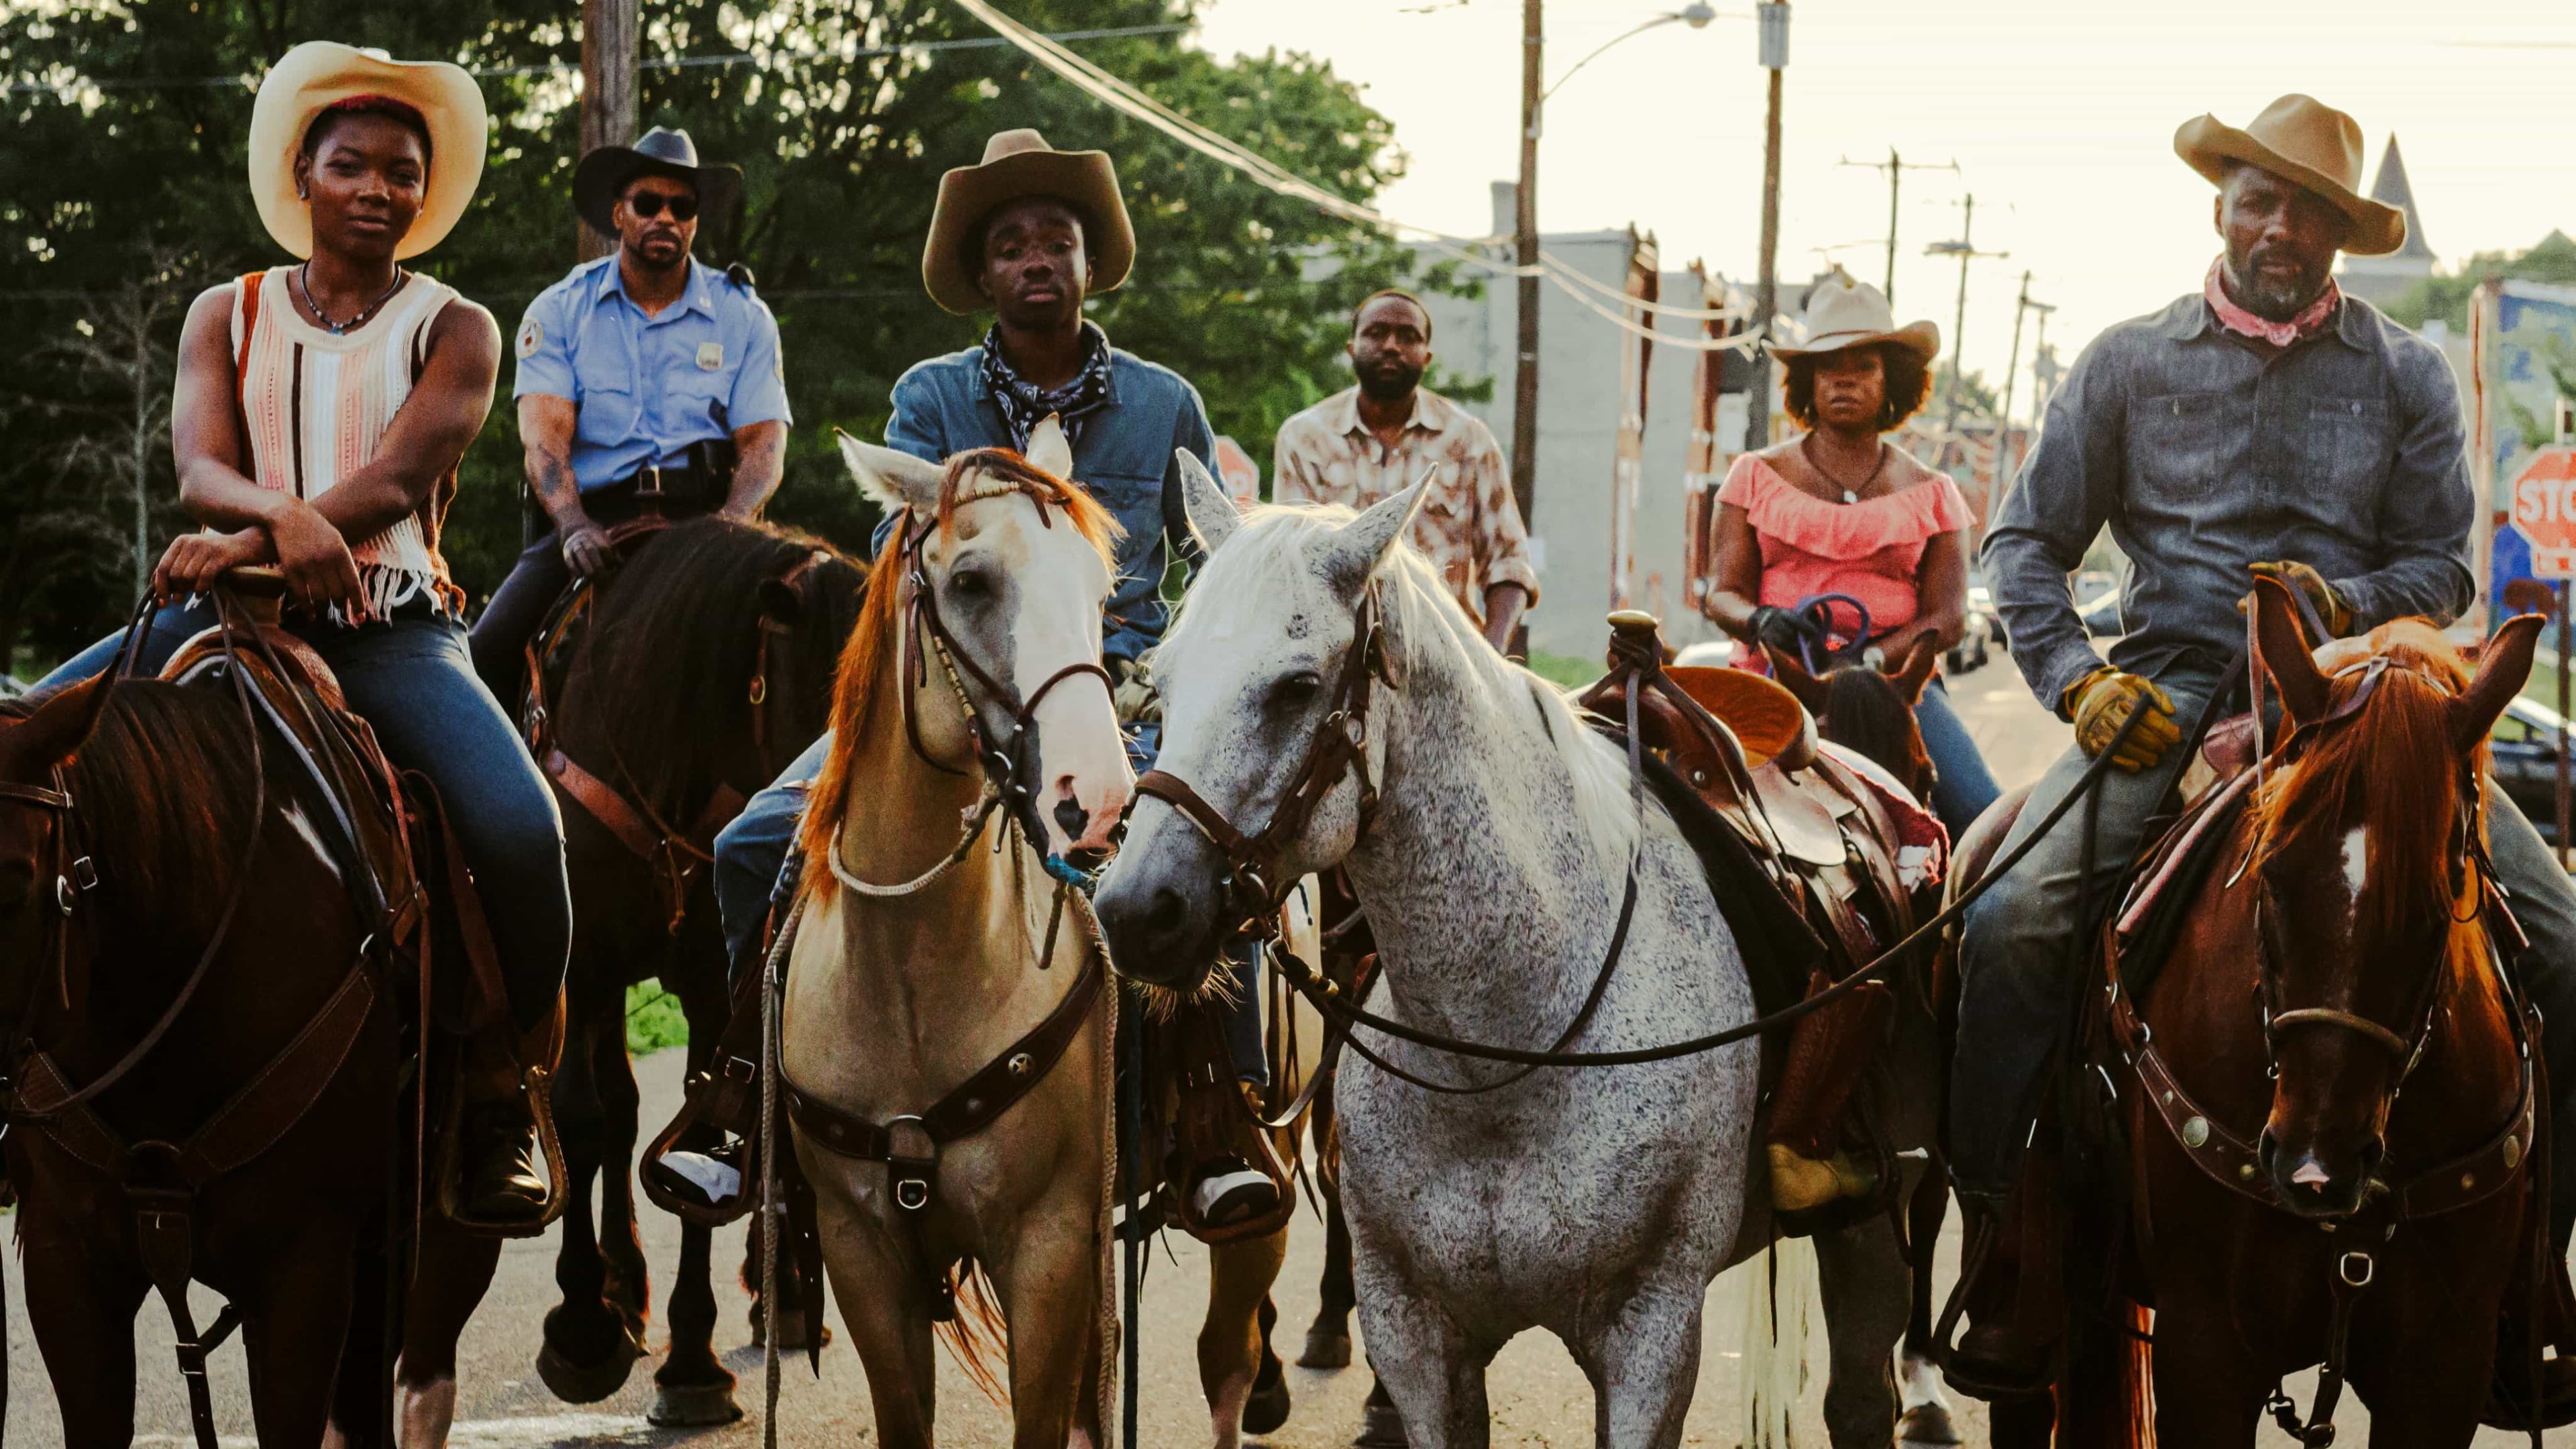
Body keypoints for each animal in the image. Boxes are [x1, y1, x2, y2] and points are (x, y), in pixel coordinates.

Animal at [1087, 469, 1772, 1433]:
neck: (1507, 1051)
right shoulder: (1416, 1336)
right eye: (1163, 682)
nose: (1136, 909)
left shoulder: (1655, 1336)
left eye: (1297, 687)